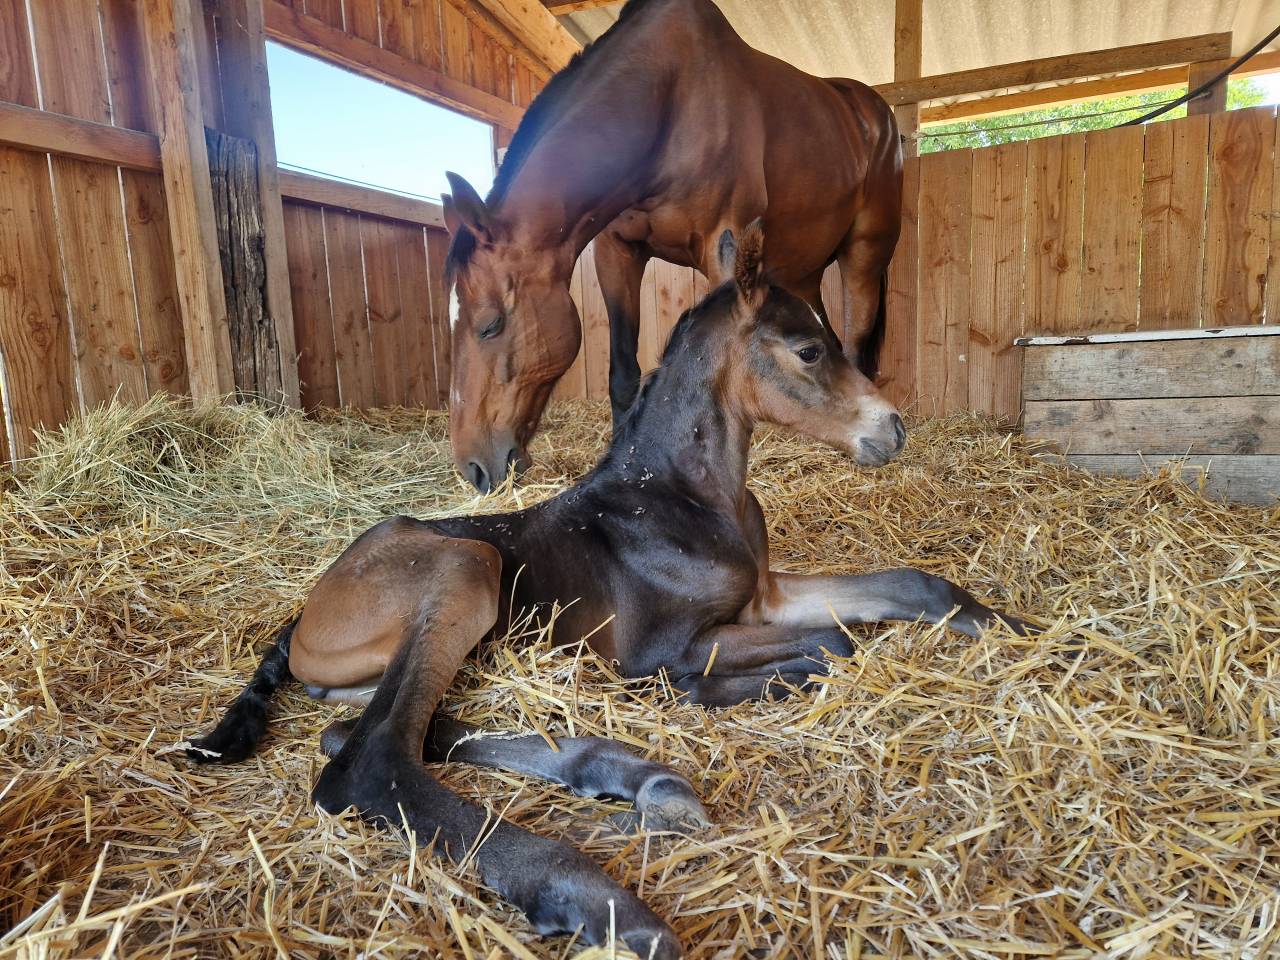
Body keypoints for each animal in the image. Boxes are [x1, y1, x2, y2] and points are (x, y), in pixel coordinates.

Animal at [186, 226, 1026, 958]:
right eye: (810, 349)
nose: (893, 428)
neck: (686, 498)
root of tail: (302, 615)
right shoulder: (664, 644)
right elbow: (829, 644)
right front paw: (717, 688)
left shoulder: (762, 595)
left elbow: (903, 586)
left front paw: (1009, 627)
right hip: (465, 567)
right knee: (372, 757)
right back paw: (596, 896)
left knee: (362, 731)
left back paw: (635, 782)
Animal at [442, 0, 902, 492]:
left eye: (489, 325)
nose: (473, 467)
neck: (668, 101)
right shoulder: (617, 251)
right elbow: (624, 374)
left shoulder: (724, 246)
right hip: (803, 273)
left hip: (864, 254)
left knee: (855, 343)